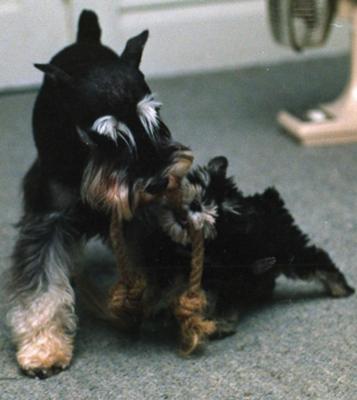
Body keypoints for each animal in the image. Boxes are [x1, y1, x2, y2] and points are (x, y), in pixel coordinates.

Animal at [5, 10, 189, 378]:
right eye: (107, 137)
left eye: (155, 118)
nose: (157, 183)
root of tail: (85, 38)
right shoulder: (47, 221)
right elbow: (40, 285)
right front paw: (43, 347)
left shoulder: (139, 217)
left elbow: (150, 257)